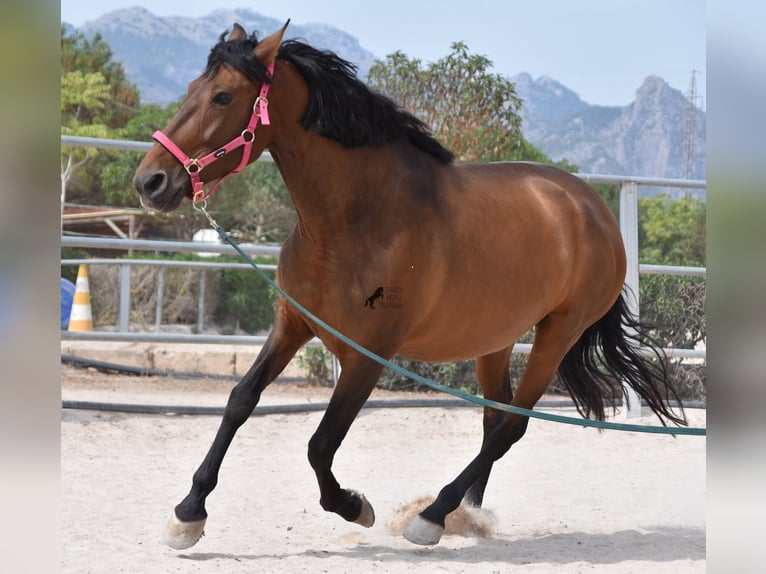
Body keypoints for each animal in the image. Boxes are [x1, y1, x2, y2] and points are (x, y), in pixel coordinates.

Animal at [134, 22, 688, 552]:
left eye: (223, 96)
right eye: (192, 88)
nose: (149, 182)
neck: (360, 220)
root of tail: (592, 208)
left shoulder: (369, 354)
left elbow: (320, 443)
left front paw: (355, 506)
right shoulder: (293, 323)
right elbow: (240, 401)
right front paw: (187, 514)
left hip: (558, 333)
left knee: (511, 425)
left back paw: (432, 517)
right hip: (496, 338)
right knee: (495, 418)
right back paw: (467, 515)